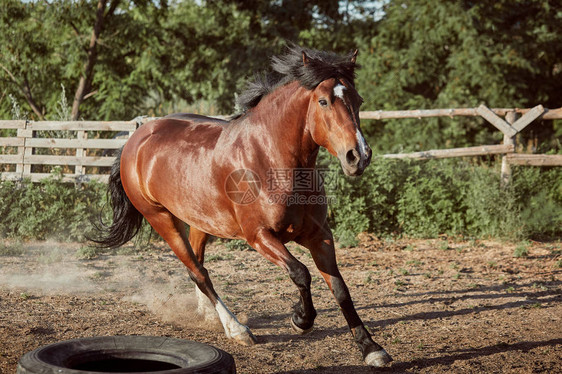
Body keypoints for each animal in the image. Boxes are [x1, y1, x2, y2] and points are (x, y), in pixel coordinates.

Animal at [93, 45, 390, 366]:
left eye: (358, 100)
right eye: (323, 101)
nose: (358, 156)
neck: (270, 158)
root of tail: (135, 140)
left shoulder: (319, 235)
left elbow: (340, 289)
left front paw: (371, 349)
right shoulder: (259, 236)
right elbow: (300, 272)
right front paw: (301, 320)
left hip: (200, 220)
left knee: (197, 266)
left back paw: (211, 316)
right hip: (161, 218)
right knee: (199, 273)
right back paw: (237, 329)